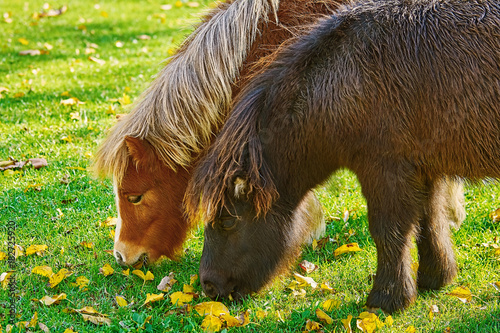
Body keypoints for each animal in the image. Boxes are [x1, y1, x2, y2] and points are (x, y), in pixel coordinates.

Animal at [188, 0, 500, 314]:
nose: (208, 286)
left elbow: (389, 232)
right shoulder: (423, 169)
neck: (345, 78)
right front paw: (435, 278)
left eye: (228, 221)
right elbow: (430, 222)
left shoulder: (385, 171)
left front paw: (386, 300)